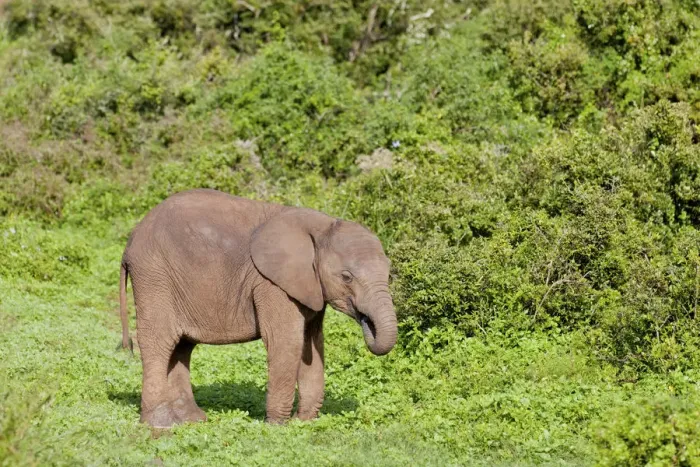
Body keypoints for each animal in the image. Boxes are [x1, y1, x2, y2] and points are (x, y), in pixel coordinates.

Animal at [118, 188, 397, 428]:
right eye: (347, 277)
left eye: (389, 273)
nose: (365, 320)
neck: (322, 226)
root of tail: (131, 238)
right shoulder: (270, 284)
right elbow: (287, 341)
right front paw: (278, 426)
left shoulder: (309, 287)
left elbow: (313, 343)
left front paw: (304, 422)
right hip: (154, 276)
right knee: (159, 341)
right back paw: (161, 425)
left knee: (181, 346)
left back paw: (191, 420)